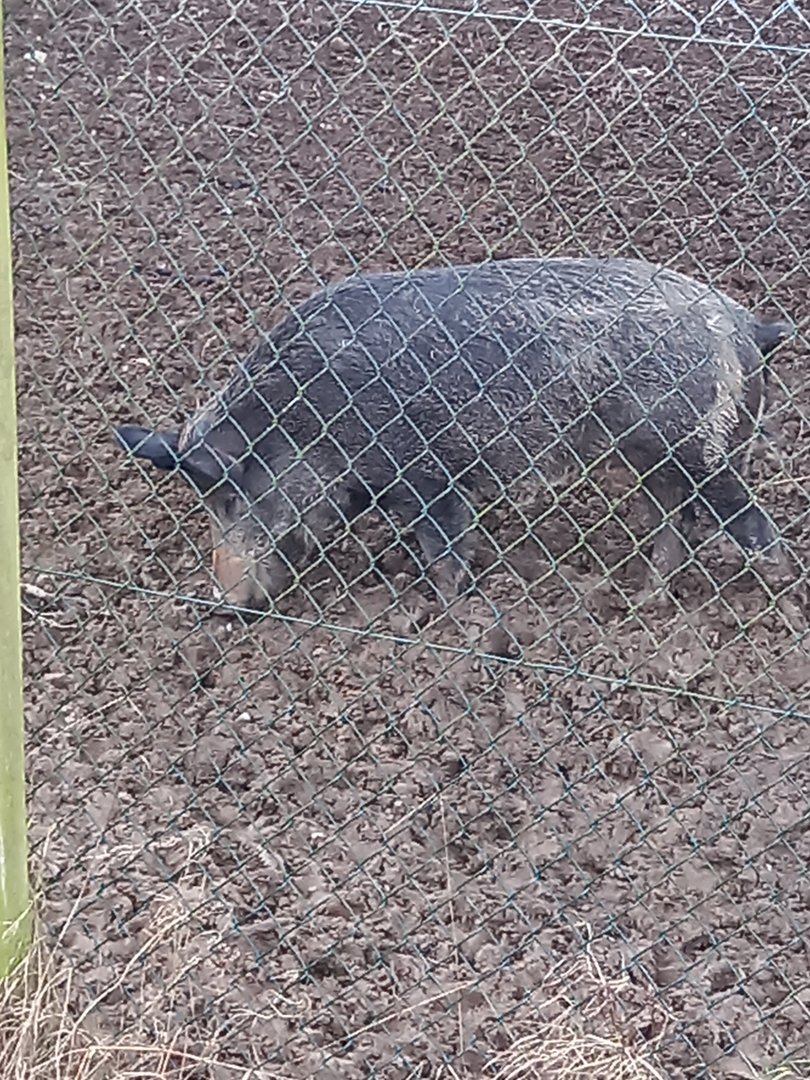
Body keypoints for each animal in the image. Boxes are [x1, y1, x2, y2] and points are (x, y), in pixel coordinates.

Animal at [115, 256, 793, 613]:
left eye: (232, 495)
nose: (224, 600)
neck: (307, 422)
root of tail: (745, 325)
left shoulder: (431, 474)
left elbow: (442, 545)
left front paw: (441, 607)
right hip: (660, 458)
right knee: (673, 520)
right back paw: (642, 598)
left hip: (703, 448)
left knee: (751, 524)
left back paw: (780, 593)